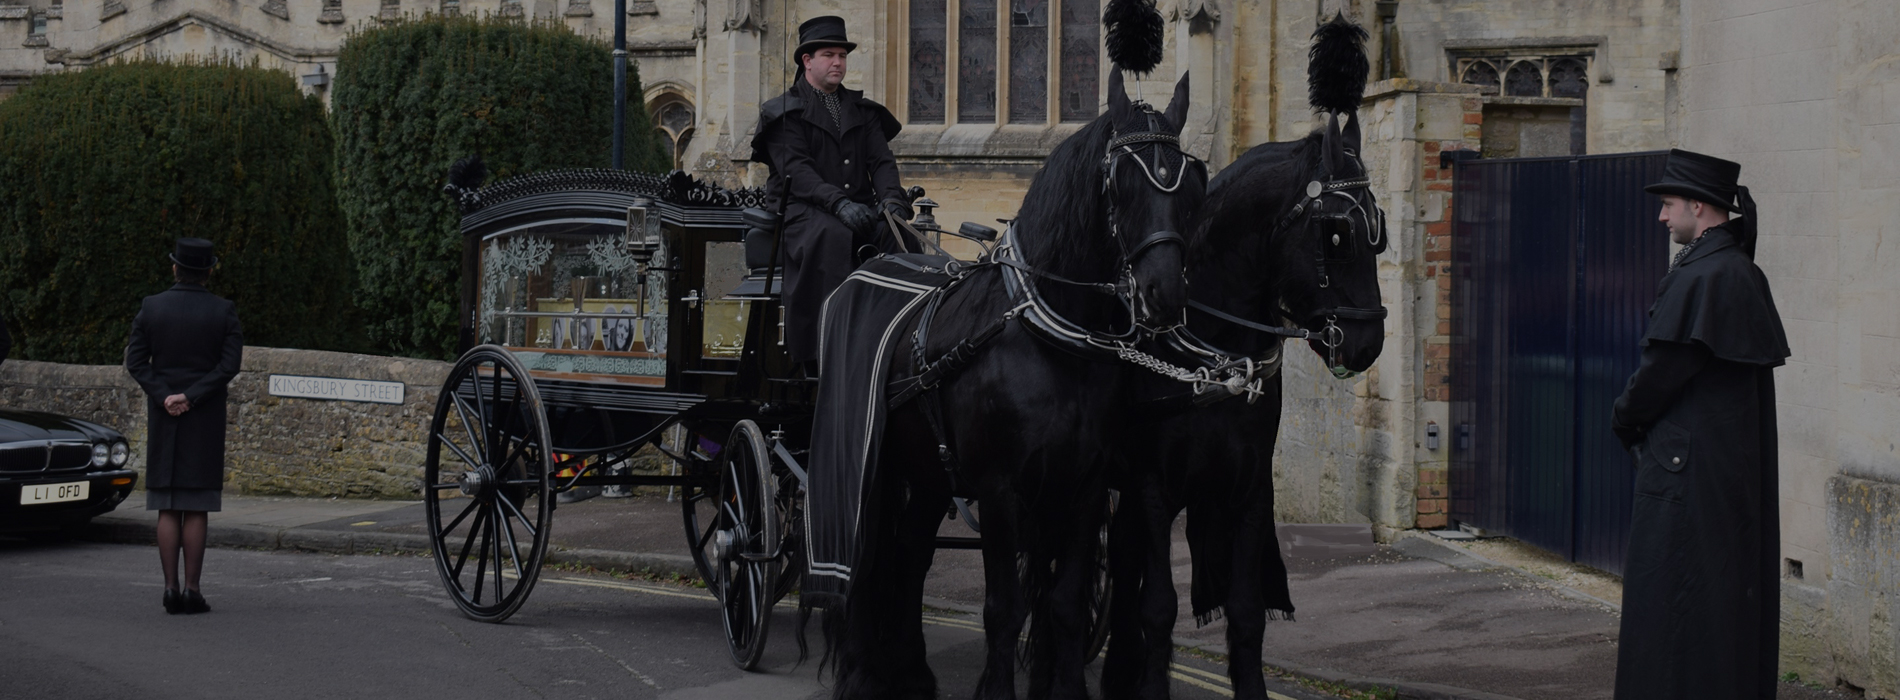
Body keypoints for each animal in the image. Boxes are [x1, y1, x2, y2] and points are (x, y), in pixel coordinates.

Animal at [820, 71, 1200, 700]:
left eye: (1190, 180)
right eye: (1120, 183)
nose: (1164, 296)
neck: (1052, 339)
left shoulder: (1085, 485)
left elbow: (1065, 603)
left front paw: (1067, 688)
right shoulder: (1001, 489)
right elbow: (1003, 608)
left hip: (929, 473)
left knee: (909, 555)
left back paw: (911, 670)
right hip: (872, 464)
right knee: (866, 555)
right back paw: (859, 672)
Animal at [1102, 16, 1383, 700]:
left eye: (1380, 230)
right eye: (1337, 234)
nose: (1368, 343)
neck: (1211, 352)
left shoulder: (1250, 486)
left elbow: (1248, 611)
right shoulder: (1152, 486)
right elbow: (1159, 607)